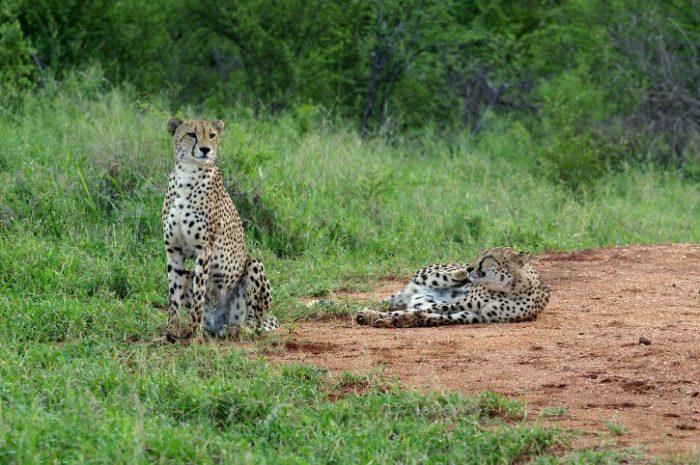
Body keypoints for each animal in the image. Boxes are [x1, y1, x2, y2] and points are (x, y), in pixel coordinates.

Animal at [161, 117, 278, 343]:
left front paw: (195, 336)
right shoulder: (173, 250)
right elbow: (174, 295)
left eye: (212, 135)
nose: (205, 149)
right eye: (192, 134)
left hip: (254, 265)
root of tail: (218, 323)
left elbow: (198, 296)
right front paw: (172, 332)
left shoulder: (203, 249)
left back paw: (238, 329)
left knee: (256, 322)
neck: (187, 174)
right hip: (191, 276)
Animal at [355, 247, 549, 328]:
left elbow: (436, 317)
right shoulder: (462, 304)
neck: (509, 289)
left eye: (488, 257)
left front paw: (407, 320)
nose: (471, 267)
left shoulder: (477, 315)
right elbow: (416, 311)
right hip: (436, 276)